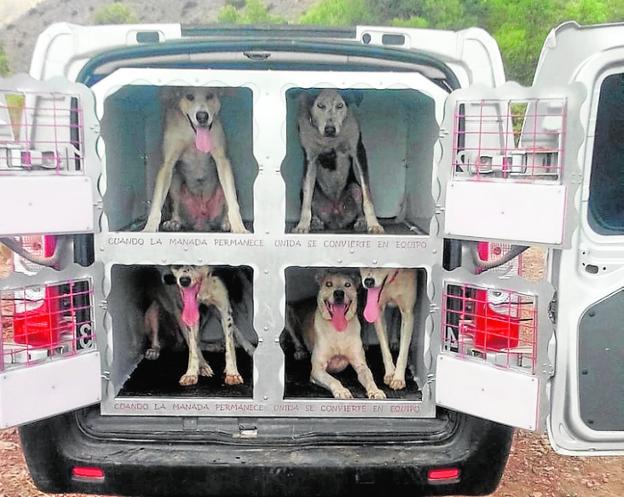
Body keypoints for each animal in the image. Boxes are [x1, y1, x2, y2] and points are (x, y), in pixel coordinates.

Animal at [143, 87, 247, 234]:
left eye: (210, 95)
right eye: (189, 96)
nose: (202, 116)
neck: (193, 134)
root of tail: (202, 221)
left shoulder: (222, 161)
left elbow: (232, 202)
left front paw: (239, 227)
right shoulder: (167, 165)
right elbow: (156, 202)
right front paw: (149, 227)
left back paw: (226, 223)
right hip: (175, 181)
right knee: (176, 206)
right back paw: (174, 222)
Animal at [302, 272, 386, 400]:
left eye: (347, 284)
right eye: (328, 284)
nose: (339, 293)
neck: (339, 332)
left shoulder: (361, 365)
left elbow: (369, 378)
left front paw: (375, 391)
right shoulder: (317, 369)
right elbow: (333, 380)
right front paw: (341, 391)